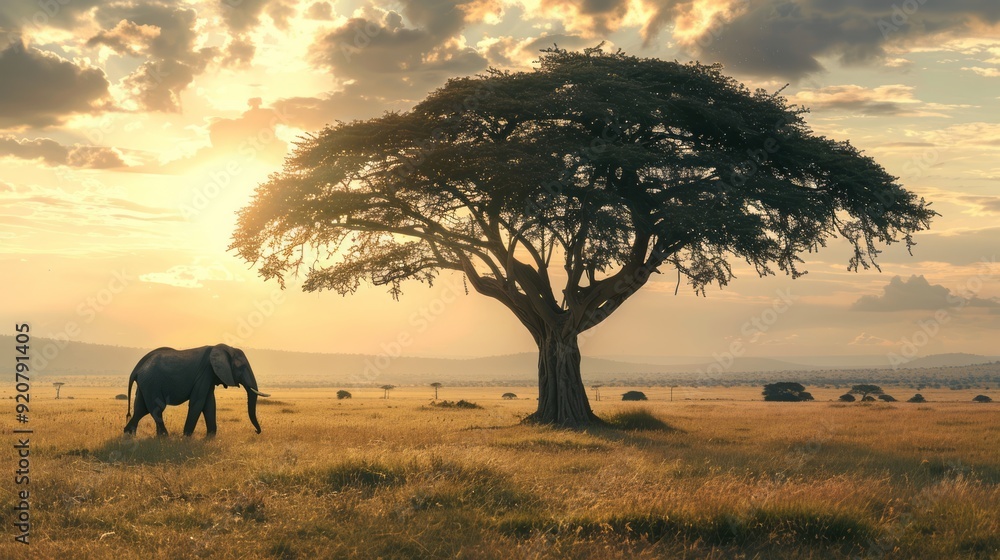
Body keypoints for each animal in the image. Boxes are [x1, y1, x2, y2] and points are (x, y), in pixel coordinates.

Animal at [123, 344, 270, 437]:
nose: (256, 432)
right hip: (152, 382)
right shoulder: (205, 372)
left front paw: (210, 437)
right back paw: (164, 437)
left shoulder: (210, 376)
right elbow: (198, 402)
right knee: (156, 409)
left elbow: (210, 404)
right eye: (241, 367)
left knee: (141, 409)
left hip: (146, 383)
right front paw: (186, 437)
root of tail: (136, 369)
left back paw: (130, 435)